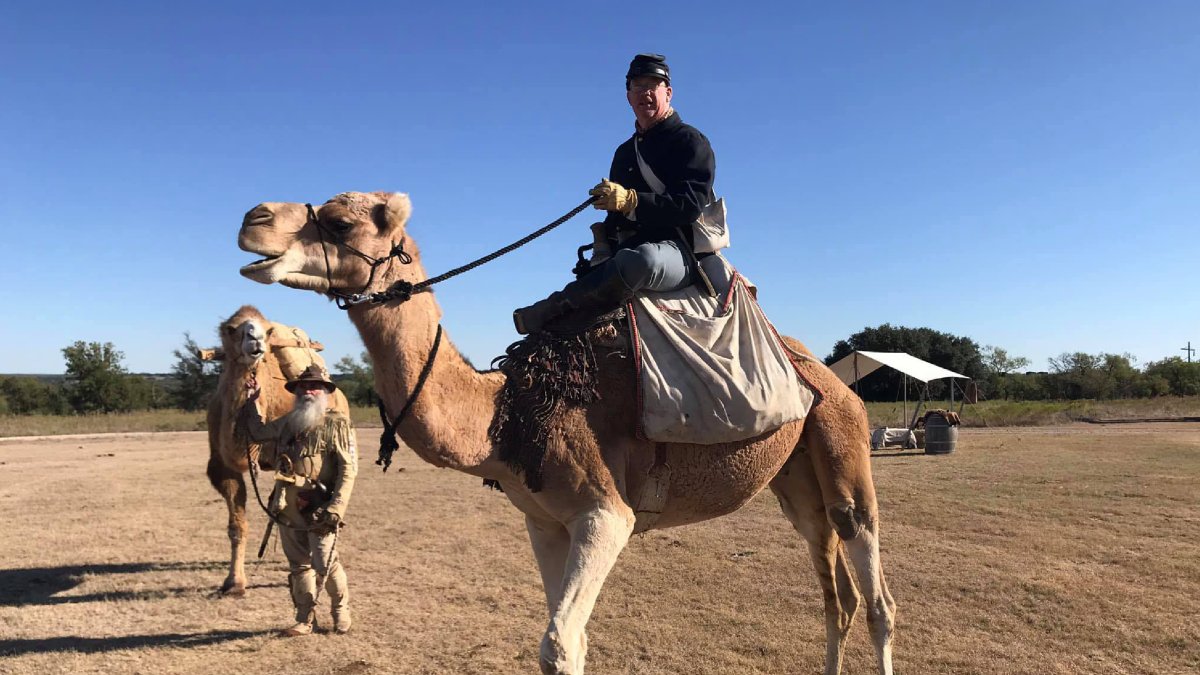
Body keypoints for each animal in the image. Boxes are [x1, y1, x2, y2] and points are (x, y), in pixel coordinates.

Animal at [236, 192, 894, 675]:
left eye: (340, 221)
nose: (253, 219)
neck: (507, 413)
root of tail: (819, 373)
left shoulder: (605, 514)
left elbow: (556, 643)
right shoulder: (544, 520)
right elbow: (568, 641)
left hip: (844, 443)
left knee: (875, 595)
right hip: (796, 480)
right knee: (835, 592)